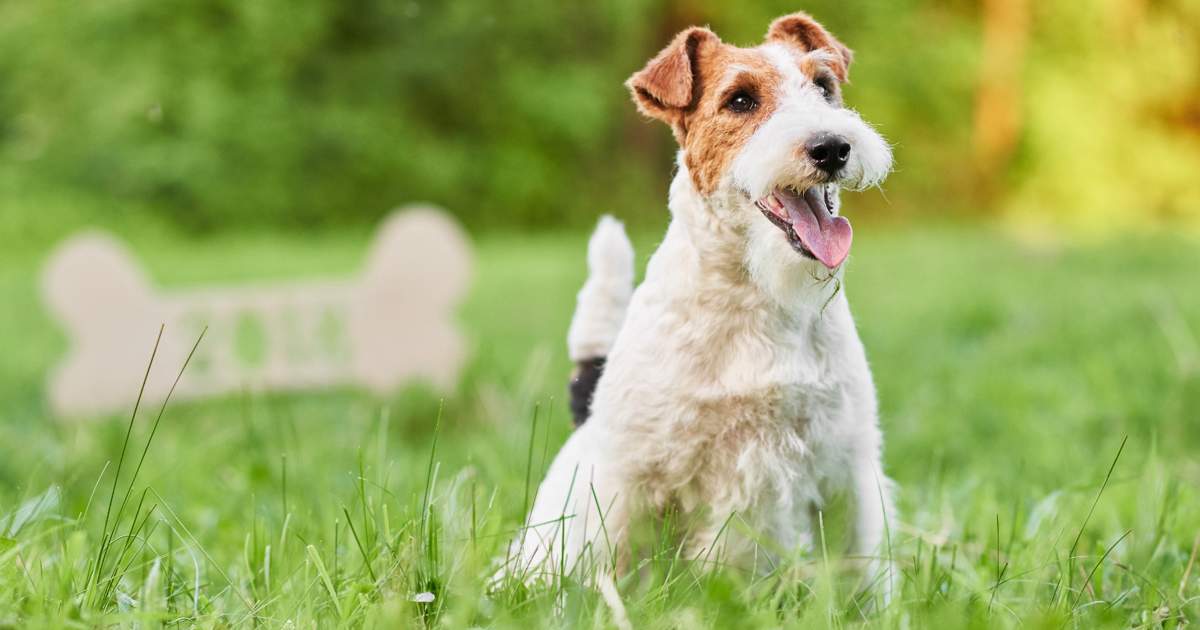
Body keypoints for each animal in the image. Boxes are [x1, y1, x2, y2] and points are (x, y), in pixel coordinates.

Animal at [501, 11, 897, 600]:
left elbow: (860, 574)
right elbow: (609, 566)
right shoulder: (626, 480)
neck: (758, 296)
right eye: (740, 100)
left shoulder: (847, 467)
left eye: (824, 86)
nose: (831, 148)